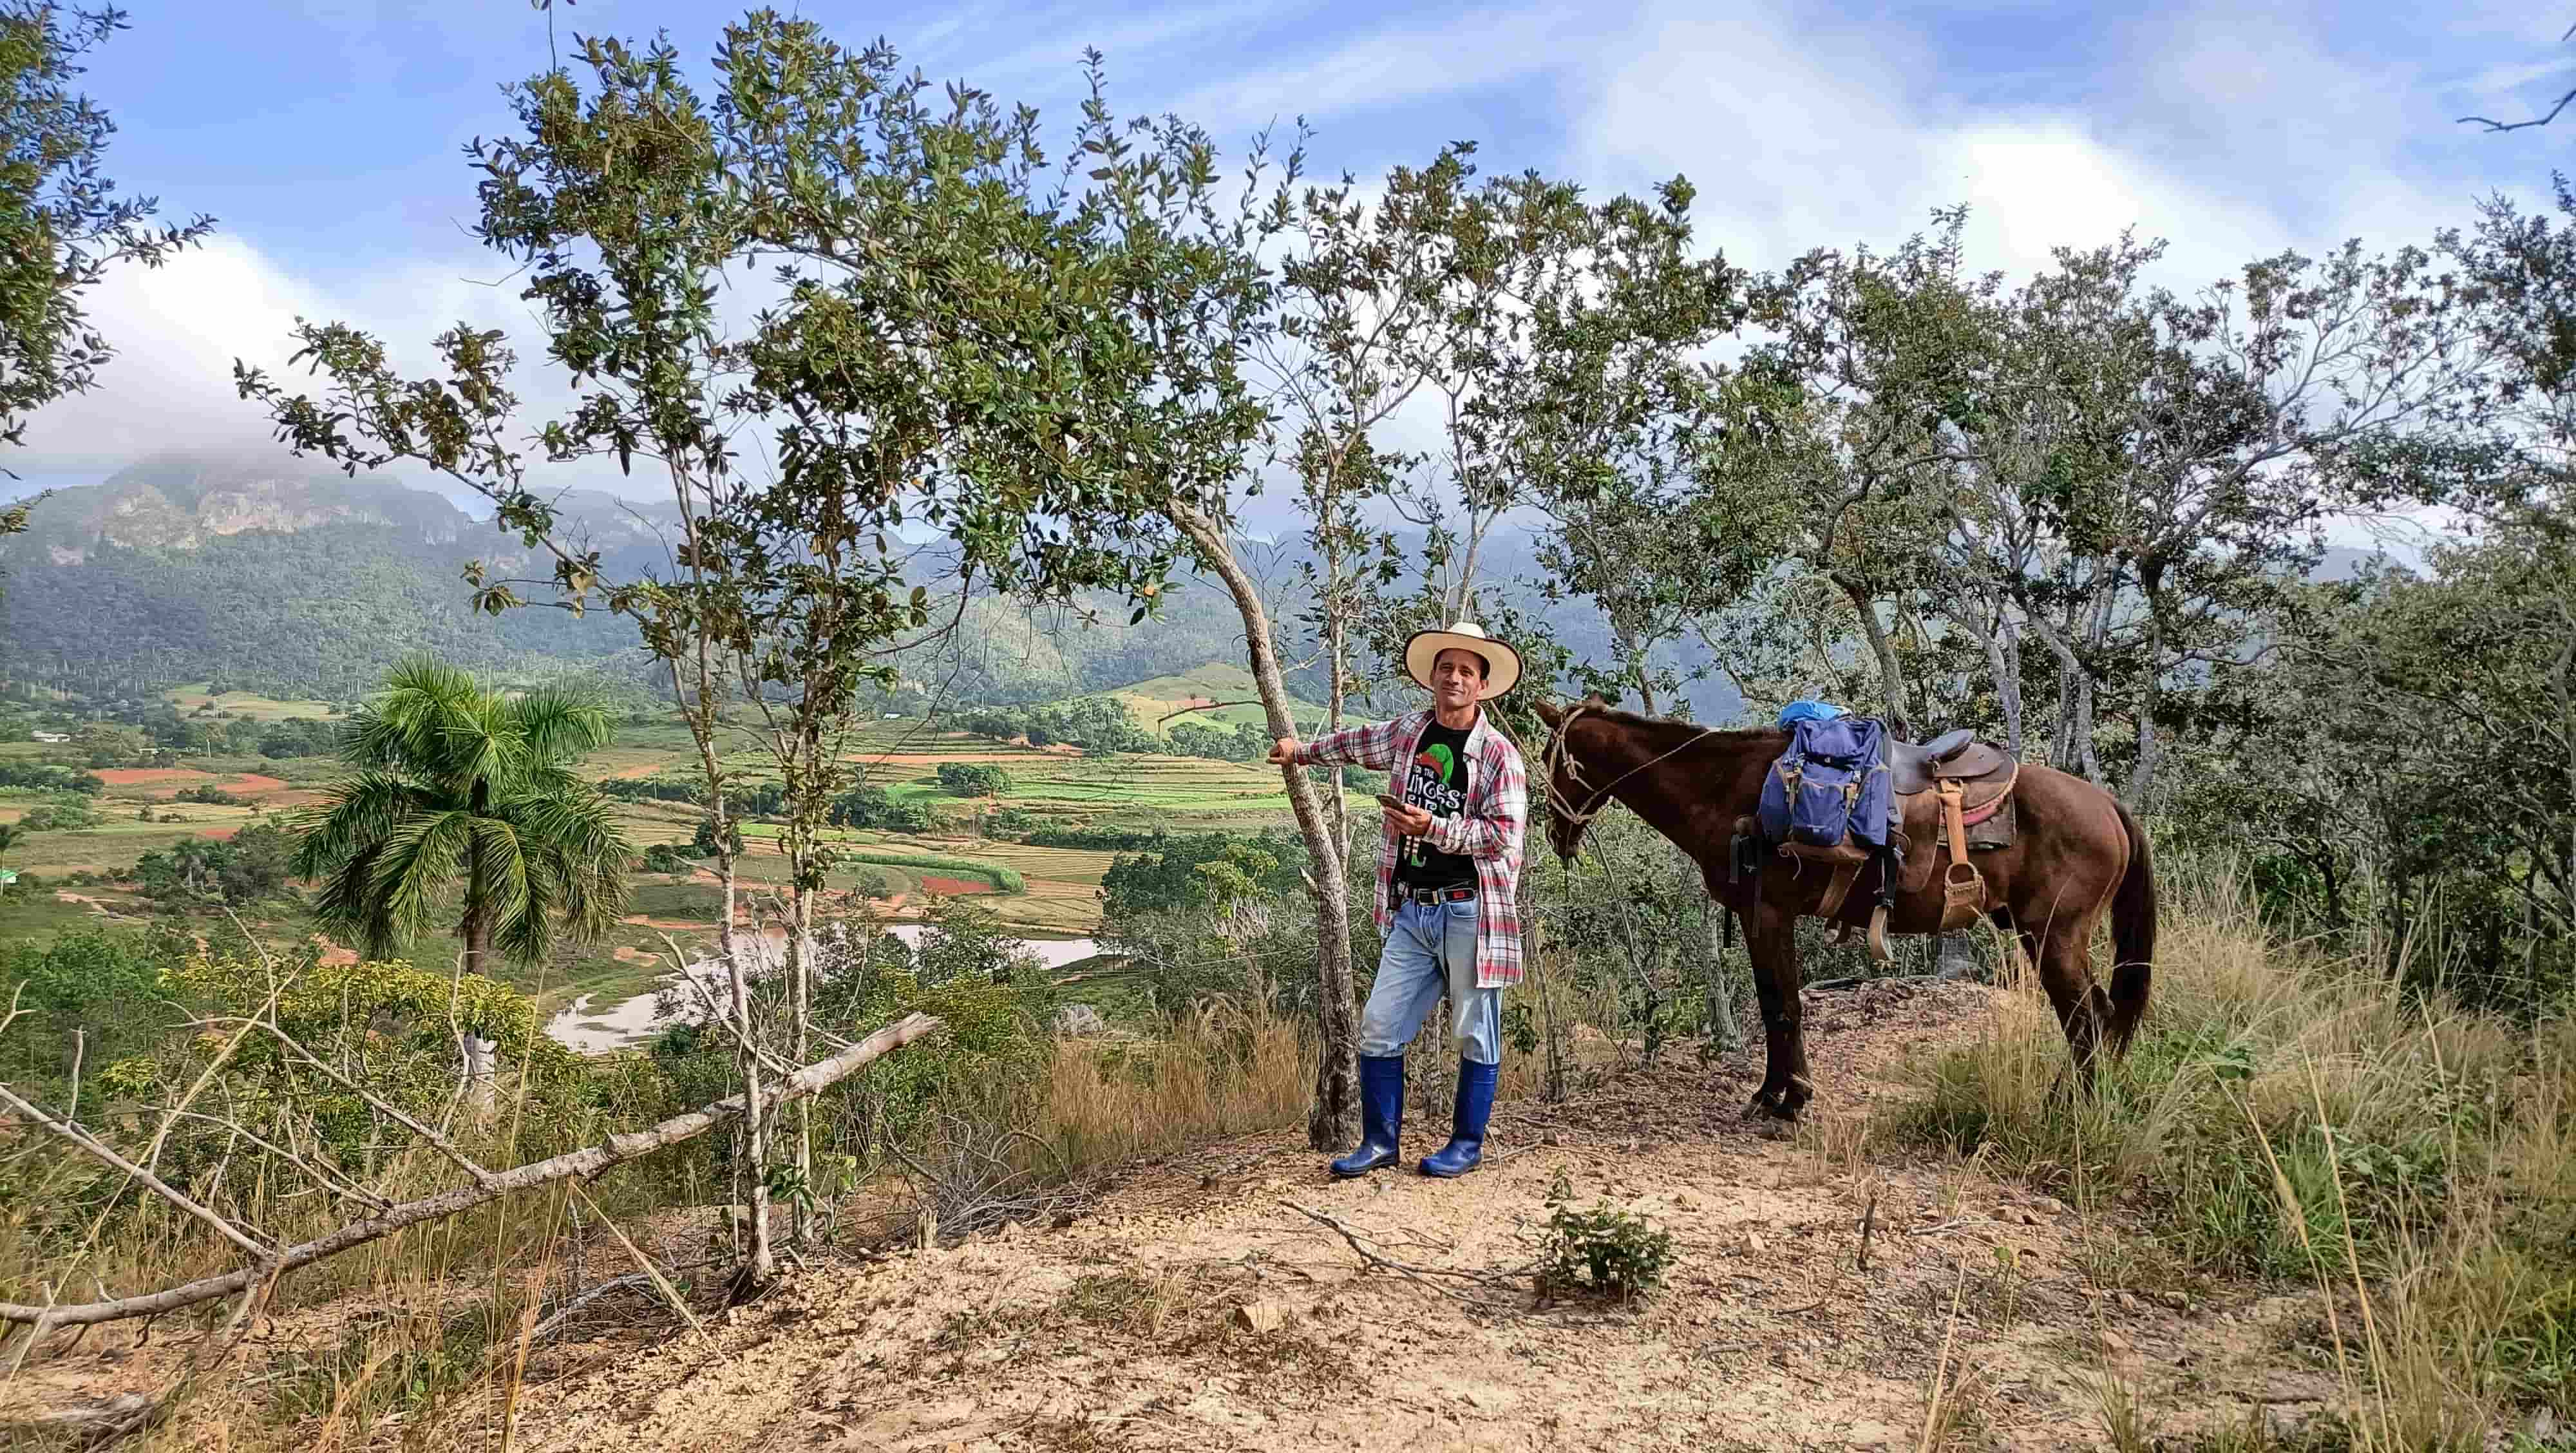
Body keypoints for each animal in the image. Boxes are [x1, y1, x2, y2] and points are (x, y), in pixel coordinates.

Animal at [1525, 696, 2154, 1118]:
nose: (1553, 830)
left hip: (2053, 936)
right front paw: (1779, 1092)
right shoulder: (1763, 917)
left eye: (1549, 756)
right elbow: (1779, 1004)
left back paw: (2066, 1107)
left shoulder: (1766, 913)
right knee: (2097, 1020)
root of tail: (2108, 807)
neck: (1729, 790)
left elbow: (1780, 1006)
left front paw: (1784, 1100)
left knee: (2088, 1020)